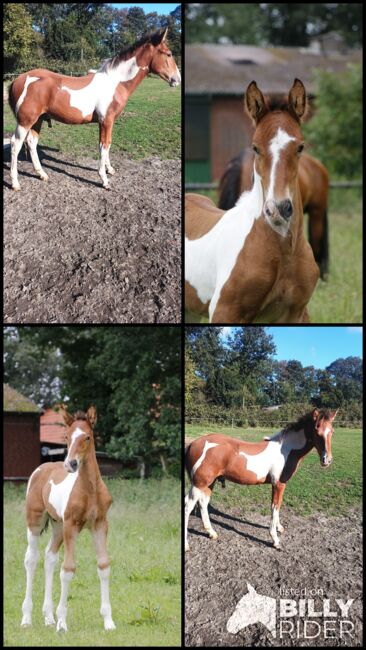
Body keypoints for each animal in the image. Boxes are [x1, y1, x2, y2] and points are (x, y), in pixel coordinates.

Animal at [8, 28, 180, 190]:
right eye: (169, 54)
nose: (177, 79)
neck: (115, 83)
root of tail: (18, 79)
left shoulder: (107, 122)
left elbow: (107, 143)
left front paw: (110, 169)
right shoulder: (106, 120)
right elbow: (104, 145)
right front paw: (104, 180)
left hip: (38, 120)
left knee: (31, 143)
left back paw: (42, 174)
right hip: (25, 121)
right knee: (15, 144)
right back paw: (15, 183)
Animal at [184, 79, 318, 322]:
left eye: (300, 147)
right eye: (255, 147)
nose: (278, 209)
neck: (283, 253)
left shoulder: (296, 313)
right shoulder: (224, 311)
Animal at [186, 408, 338, 548]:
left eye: (332, 431)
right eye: (317, 430)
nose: (326, 460)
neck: (286, 450)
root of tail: (193, 444)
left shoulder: (277, 485)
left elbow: (277, 505)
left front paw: (279, 528)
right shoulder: (279, 484)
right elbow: (275, 507)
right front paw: (275, 540)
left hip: (208, 483)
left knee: (203, 503)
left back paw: (211, 533)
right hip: (199, 484)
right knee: (188, 505)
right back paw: (187, 545)